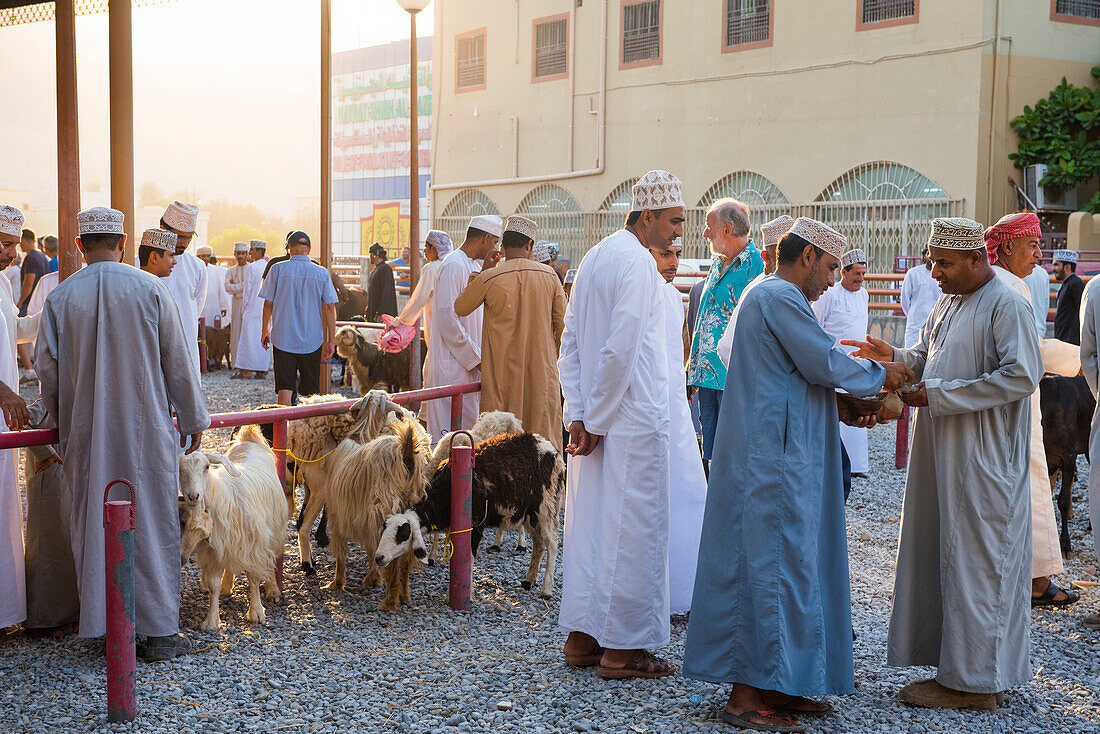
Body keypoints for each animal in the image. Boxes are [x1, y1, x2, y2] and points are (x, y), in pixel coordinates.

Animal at [178, 424, 286, 633]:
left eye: (206, 467)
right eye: (179, 470)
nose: (193, 496)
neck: (222, 496)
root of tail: (249, 436)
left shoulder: (253, 544)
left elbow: (253, 577)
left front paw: (256, 613)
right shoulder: (213, 550)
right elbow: (213, 586)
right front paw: (211, 621)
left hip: (273, 530)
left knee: (271, 558)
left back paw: (272, 589)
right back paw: (227, 586)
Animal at [321, 415, 429, 611]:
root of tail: (405, 454)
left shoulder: (337, 516)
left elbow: (342, 552)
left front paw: (337, 583)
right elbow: (373, 550)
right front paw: (373, 579)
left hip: (386, 514)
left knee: (391, 557)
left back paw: (389, 602)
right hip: (409, 515)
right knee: (405, 558)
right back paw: (404, 596)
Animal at [378, 433, 567, 598]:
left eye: (403, 533)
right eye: (384, 530)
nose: (379, 557)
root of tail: (554, 451)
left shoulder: (475, 524)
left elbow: (467, 557)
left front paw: (465, 594)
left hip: (547, 506)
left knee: (552, 543)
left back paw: (546, 589)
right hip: (529, 514)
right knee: (539, 543)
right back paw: (529, 580)